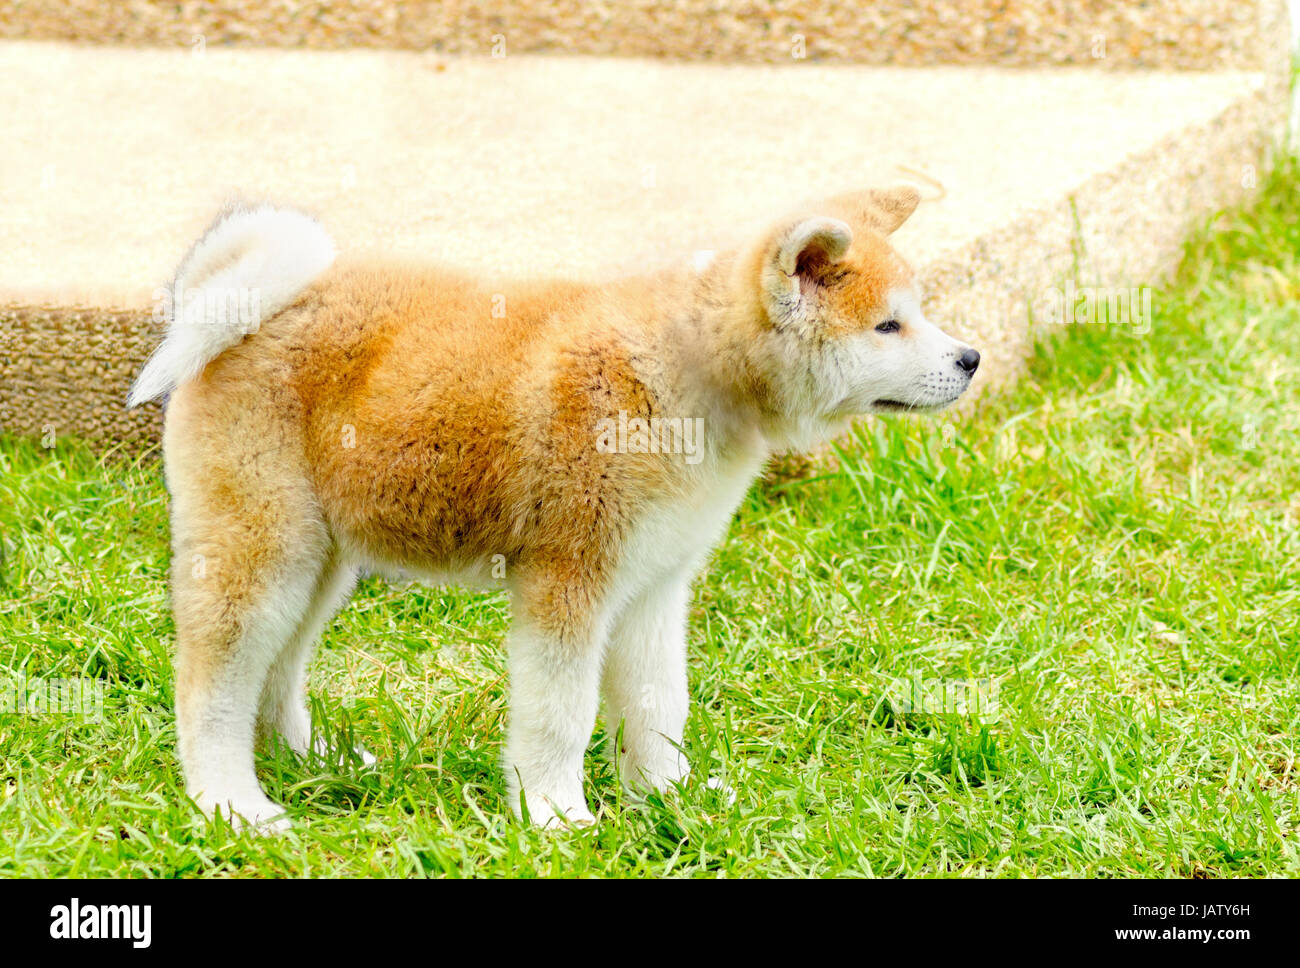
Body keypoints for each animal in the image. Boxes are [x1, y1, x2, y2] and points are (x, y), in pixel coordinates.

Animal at [129, 188, 977, 831]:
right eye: (889, 325)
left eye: (918, 313)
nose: (970, 359)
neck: (685, 378)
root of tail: (252, 302)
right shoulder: (569, 581)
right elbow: (559, 715)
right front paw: (555, 817)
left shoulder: (652, 587)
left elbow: (660, 705)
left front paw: (668, 799)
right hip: (265, 549)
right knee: (212, 680)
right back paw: (231, 803)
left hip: (320, 561)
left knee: (277, 669)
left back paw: (309, 762)